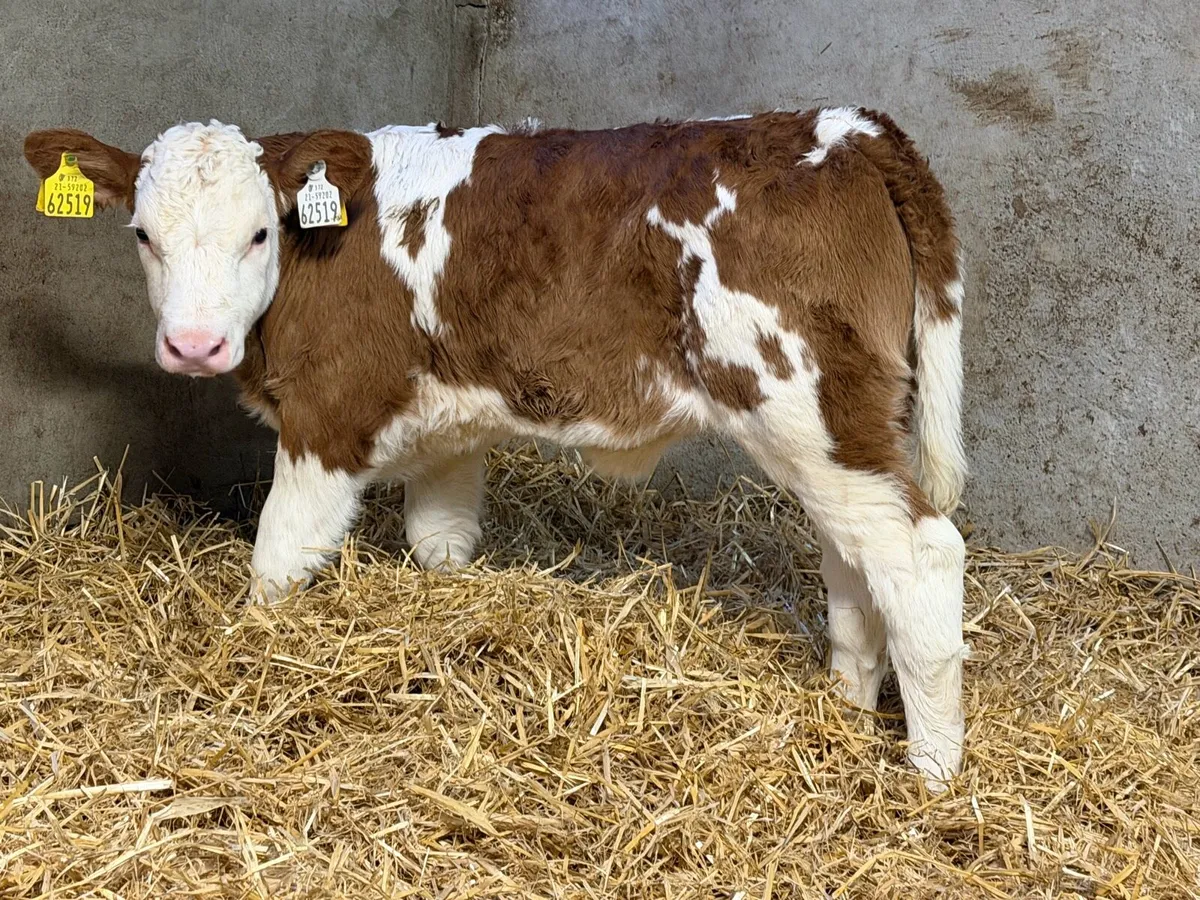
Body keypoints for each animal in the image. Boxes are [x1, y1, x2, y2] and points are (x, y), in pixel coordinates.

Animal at [24, 107, 969, 790]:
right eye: (142, 234)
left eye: (258, 235)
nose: (193, 346)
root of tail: (847, 128)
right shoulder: (449, 429)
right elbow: (440, 541)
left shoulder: (328, 415)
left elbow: (278, 562)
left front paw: (254, 657)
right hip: (842, 427)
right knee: (855, 563)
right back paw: (842, 713)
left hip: (804, 404)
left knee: (919, 554)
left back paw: (931, 771)